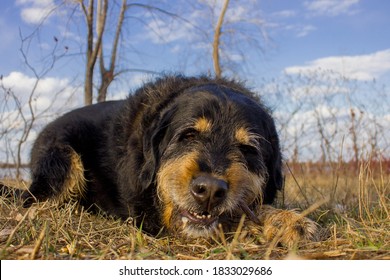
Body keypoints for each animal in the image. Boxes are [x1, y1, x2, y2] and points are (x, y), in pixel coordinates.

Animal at [6, 75, 318, 246]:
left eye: (248, 149)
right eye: (188, 135)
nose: (209, 190)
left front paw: (289, 220)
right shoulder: (149, 218)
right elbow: (238, 217)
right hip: (64, 161)